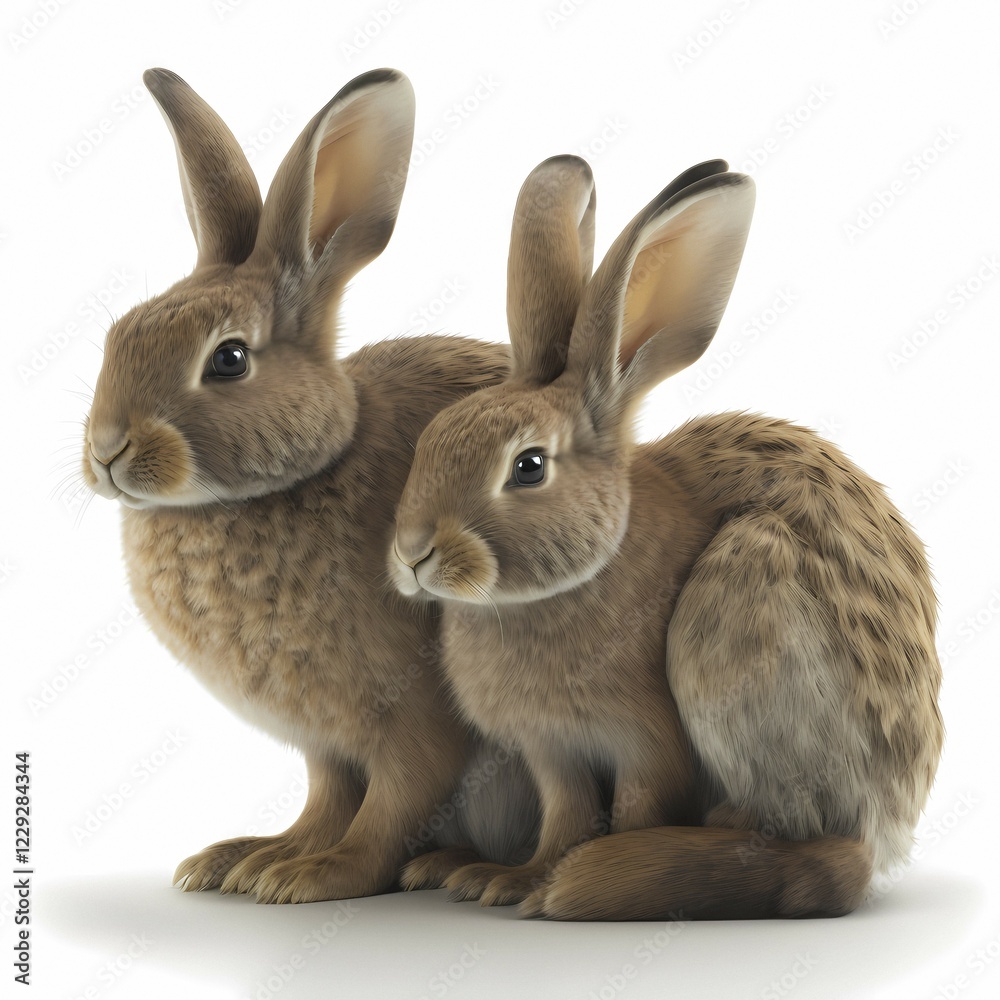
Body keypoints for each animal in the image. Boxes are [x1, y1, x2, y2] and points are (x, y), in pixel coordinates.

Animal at [80, 66, 538, 904]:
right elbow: (328, 798)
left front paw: (318, 875)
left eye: (228, 359)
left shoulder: (413, 716)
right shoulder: (325, 742)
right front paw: (255, 858)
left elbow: (394, 801)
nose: (106, 451)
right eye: (119, 334)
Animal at [388, 154, 944, 919]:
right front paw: (516, 879)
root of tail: (889, 823)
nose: (413, 554)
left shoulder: (647, 742)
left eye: (528, 467)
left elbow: (634, 809)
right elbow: (566, 813)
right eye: (432, 441)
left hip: (740, 616)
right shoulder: (551, 751)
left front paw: (566, 880)